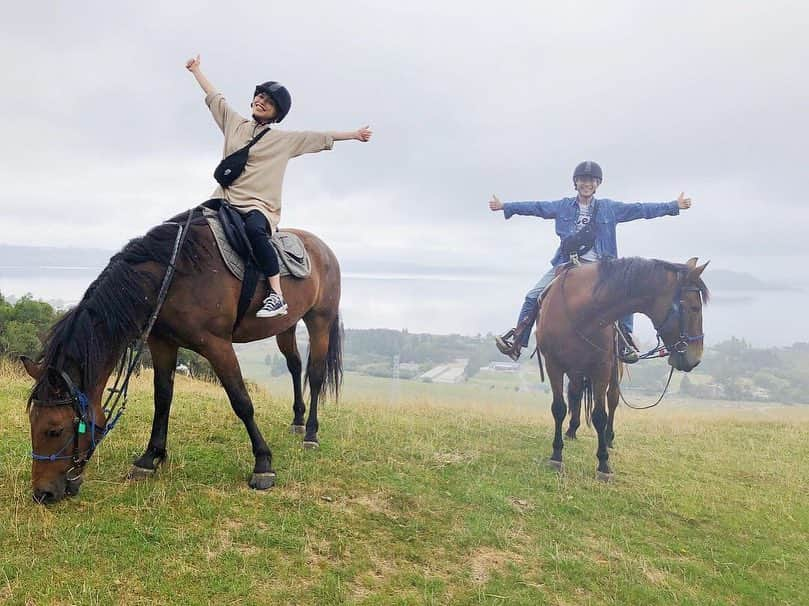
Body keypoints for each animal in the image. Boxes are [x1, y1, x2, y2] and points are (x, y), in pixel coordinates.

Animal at [19, 209, 340, 504]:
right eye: (32, 423)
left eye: (54, 430)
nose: (42, 493)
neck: (172, 276)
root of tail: (323, 248)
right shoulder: (162, 343)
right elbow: (162, 399)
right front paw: (150, 458)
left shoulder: (218, 346)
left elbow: (241, 402)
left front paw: (263, 465)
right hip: (286, 326)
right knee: (294, 366)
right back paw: (298, 421)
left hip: (319, 321)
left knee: (315, 374)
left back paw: (311, 433)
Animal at [536, 255, 708, 480]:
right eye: (695, 307)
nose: (695, 358)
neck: (581, 312)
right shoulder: (553, 364)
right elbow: (559, 408)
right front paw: (556, 455)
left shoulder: (601, 367)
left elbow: (600, 415)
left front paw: (603, 464)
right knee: (576, 393)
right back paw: (572, 430)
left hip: (612, 370)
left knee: (612, 400)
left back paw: (608, 438)